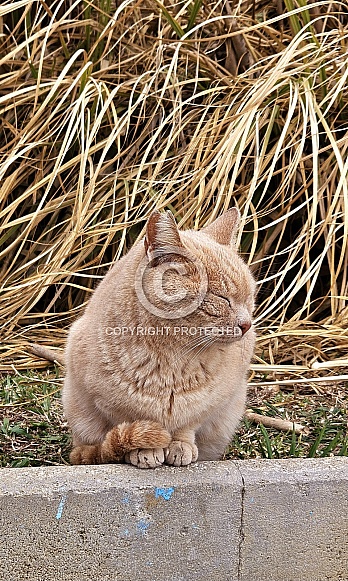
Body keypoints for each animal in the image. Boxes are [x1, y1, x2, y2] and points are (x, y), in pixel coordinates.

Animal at [62, 208, 256, 466]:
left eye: (249, 298)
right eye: (221, 298)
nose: (247, 325)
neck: (174, 357)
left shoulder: (211, 403)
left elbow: (186, 425)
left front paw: (180, 445)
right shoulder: (107, 402)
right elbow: (136, 422)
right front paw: (146, 449)